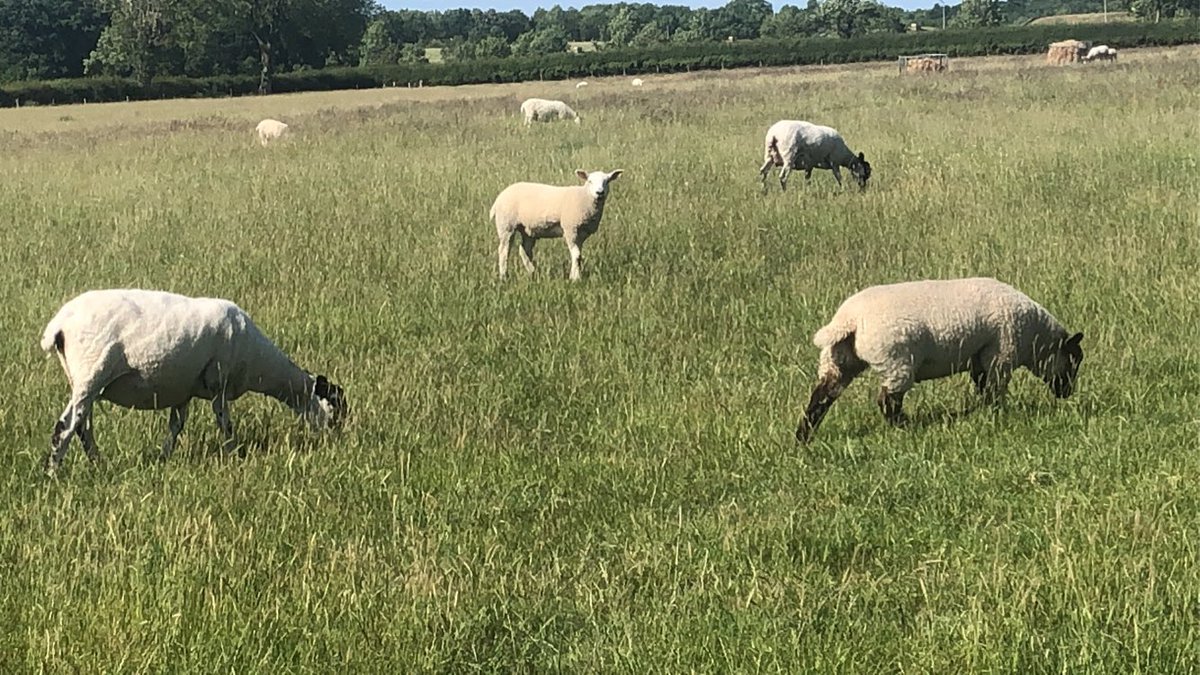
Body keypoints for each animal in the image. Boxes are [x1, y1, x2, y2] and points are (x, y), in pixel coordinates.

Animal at [40, 289, 348, 471]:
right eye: (336, 405)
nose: (337, 442)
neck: (257, 361)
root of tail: (60, 323)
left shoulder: (183, 391)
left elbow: (176, 425)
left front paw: (164, 457)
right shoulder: (219, 381)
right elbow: (224, 422)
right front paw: (234, 454)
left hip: (86, 382)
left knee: (83, 427)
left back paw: (98, 463)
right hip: (91, 373)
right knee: (65, 427)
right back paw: (54, 473)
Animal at [490, 169, 623, 281]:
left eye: (607, 181)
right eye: (590, 181)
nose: (599, 192)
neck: (584, 197)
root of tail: (498, 198)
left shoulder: (581, 233)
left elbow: (578, 255)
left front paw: (573, 275)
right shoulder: (570, 229)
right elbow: (576, 254)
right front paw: (576, 279)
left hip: (528, 229)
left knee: (524, 250)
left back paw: (533, 273)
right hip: (506, 224)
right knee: (504, 250)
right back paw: (504, 277)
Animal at [795, 277, 1084, 443]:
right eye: (1074, 361)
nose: (1067, 393)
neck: (1035, 338)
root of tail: (849, 320)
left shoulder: (979, 356)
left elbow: (981, 385)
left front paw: (984, 411)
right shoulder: (1000, 354)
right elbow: (994, 389)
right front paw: (998, 414)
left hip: (839, 359)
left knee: (821, 397)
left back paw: (803, 438)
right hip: (896, 361)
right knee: (887, 400)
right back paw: (904, 428)